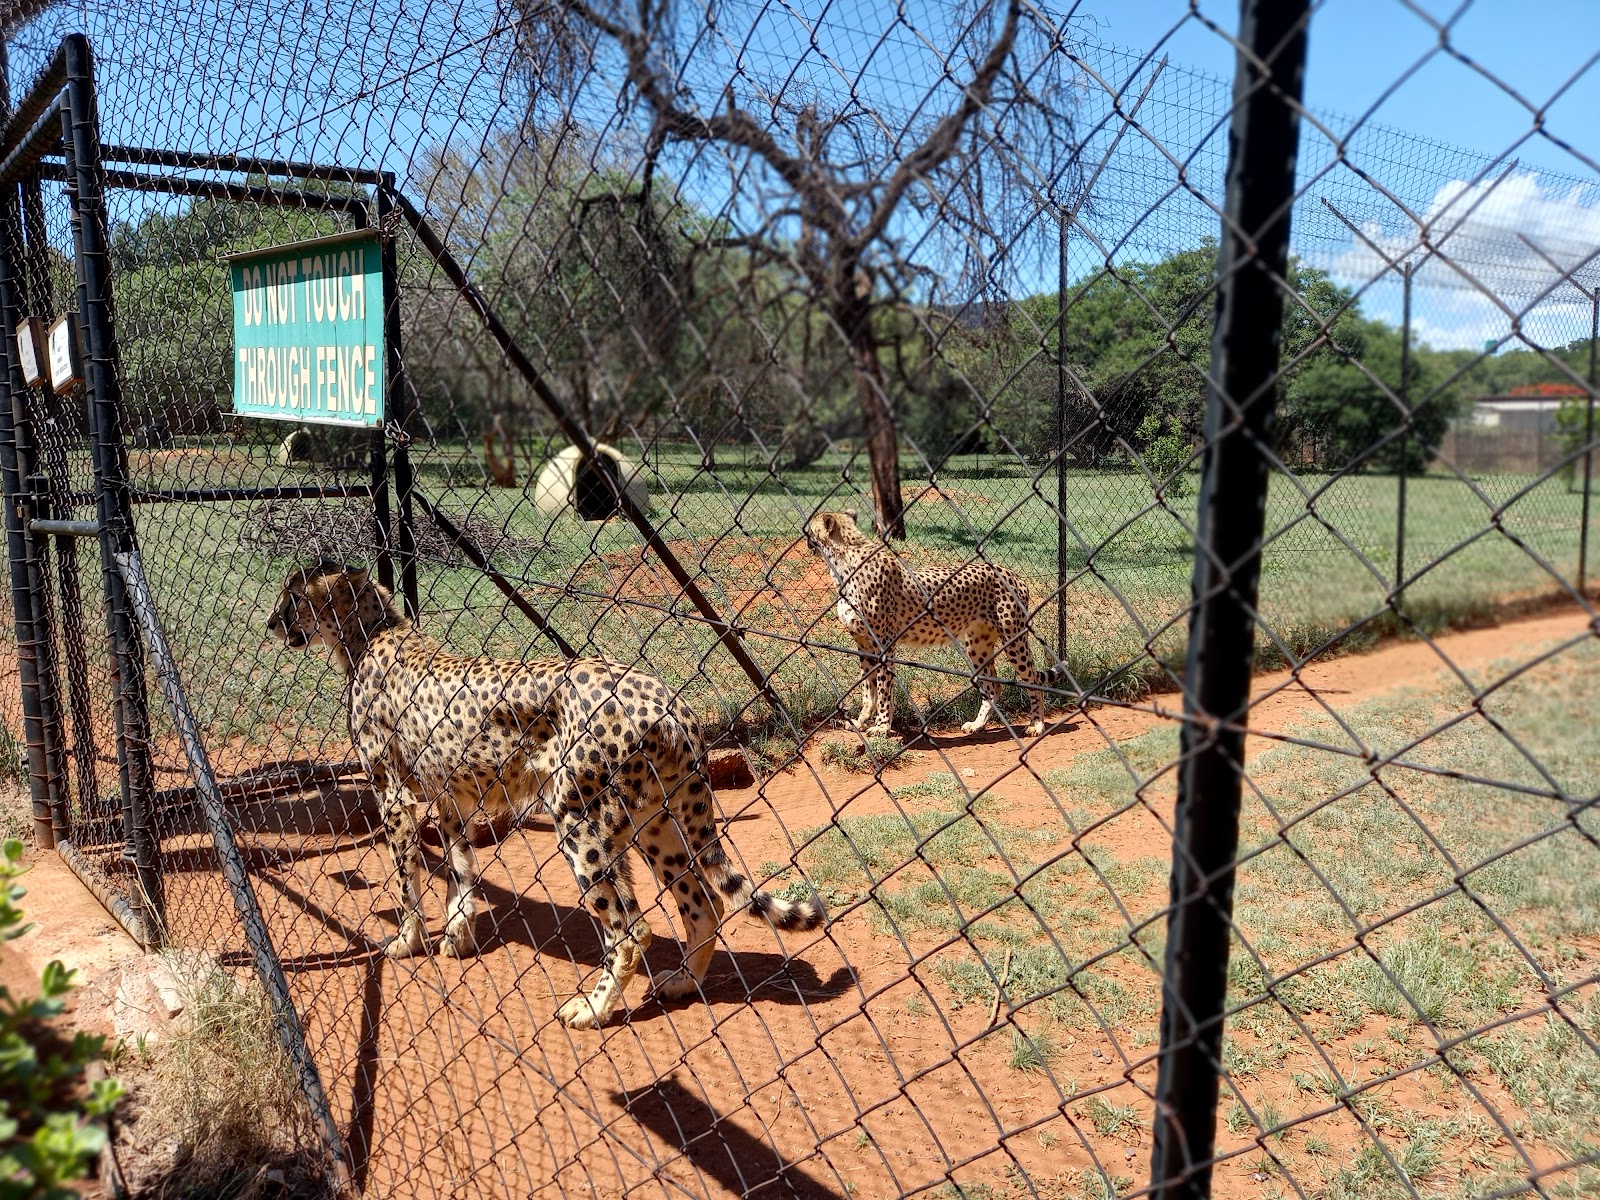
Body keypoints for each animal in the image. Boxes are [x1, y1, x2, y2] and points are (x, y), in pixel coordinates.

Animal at [266, 562, 826, 1029]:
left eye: (293, 595)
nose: (271, 623)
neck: (372, 632)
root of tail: (663, 695)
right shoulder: (451, 797)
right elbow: (460, 871)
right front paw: (457, 936)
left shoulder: (394, 797)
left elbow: (406, 882)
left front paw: (407, 941)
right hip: (655, 822)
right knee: (704, 903)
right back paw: (683, 983)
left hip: (579, 820)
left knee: (631, 931)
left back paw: (594, 1010)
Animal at [804, 510, 1048, 738]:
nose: (804, 533)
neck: (843, 563)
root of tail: (1014, 574)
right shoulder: (864, 644)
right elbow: (867, 688)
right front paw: (861, 721)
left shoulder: (884, 644)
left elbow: (883, 688)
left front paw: (882, 726)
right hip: (977, 644)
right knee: (993, 685)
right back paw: (977, 724)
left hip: (1013, 638)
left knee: (1034, 679)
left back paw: (1036, 724)